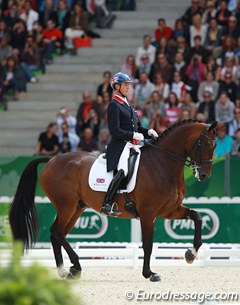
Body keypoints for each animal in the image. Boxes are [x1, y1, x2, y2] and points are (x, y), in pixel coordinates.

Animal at [8, 120, 219, 282]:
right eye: (205, 145)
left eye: (215, 146)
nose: (203, 175)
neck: (162, 164)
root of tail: (51, 160)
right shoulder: (148, 213)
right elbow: (148, 244)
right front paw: (149, 274)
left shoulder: (170, 210)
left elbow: (198, 216)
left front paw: (191, 254)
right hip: (66, 206)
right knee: (57, 232)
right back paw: (73, 267)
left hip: (76, 208)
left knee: (57, 234)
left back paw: (67, 270)